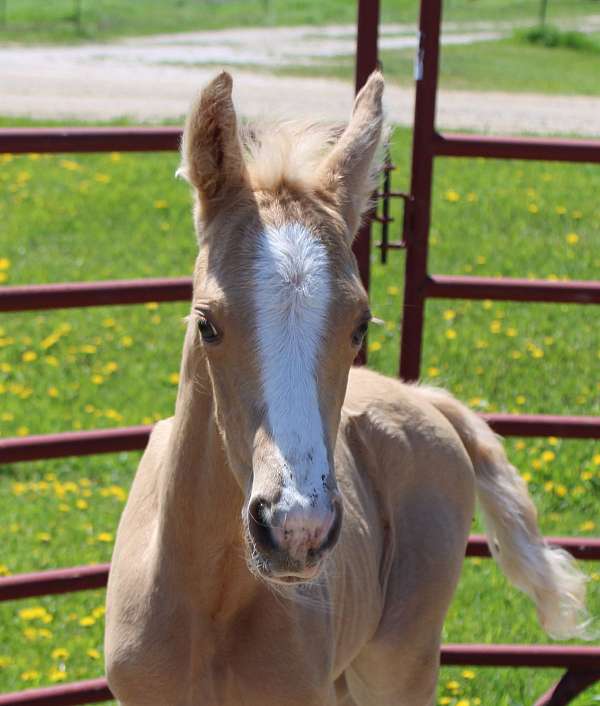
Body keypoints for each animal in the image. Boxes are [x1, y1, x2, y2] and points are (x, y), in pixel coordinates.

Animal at [105, 73, 588, 704]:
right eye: (206, 323)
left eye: (360, 326)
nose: (296, 528)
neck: (209, 603)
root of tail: (422, 398)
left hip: (398, 663)